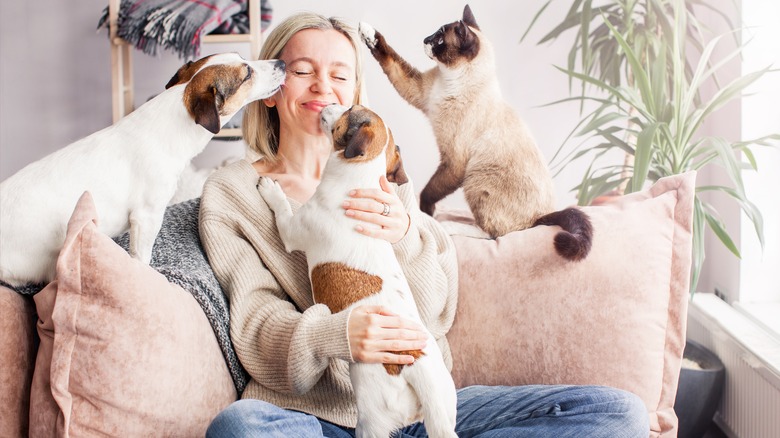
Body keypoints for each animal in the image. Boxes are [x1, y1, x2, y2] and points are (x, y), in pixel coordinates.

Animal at [256, 104, 458, 436]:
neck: (358, 179)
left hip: (371, 419)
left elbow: (282, 209)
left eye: (349, 109)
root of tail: (416, 365)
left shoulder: (291, 230)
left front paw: (273, 191)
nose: (328, 104)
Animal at [360, 4, 592, 260]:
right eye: (434, 34)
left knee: (495, 233)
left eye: (439, 39)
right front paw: (367, 32)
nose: (425, 40)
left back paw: (449, 226)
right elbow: (390, 58)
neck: (449, 81)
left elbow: (428, 194)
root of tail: (541, 217)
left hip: (476, 179)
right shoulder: (417, 90)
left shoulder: (453, 162)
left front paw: (427, 215)